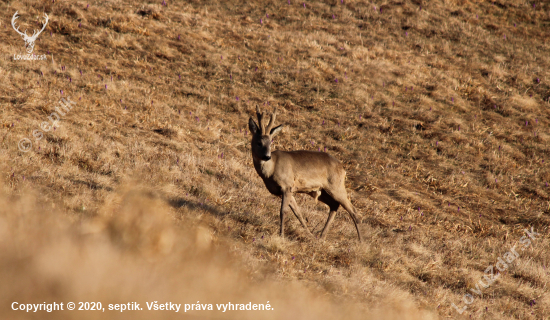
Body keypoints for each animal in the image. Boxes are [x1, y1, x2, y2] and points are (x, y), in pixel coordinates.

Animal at [249, 106, 362, 241]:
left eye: (271, 141)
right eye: (259, 142)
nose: (267, 156)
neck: (271, 170)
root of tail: (343, 169)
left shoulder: (287, 185)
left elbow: (283, 211)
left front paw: (281, 235)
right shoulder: (287, 190)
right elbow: (298, 213)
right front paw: (309, 233)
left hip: (336, 186)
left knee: (353, 211)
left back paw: (361, 241)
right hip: (322, 191)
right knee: (334, 205)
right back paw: (321, 236)